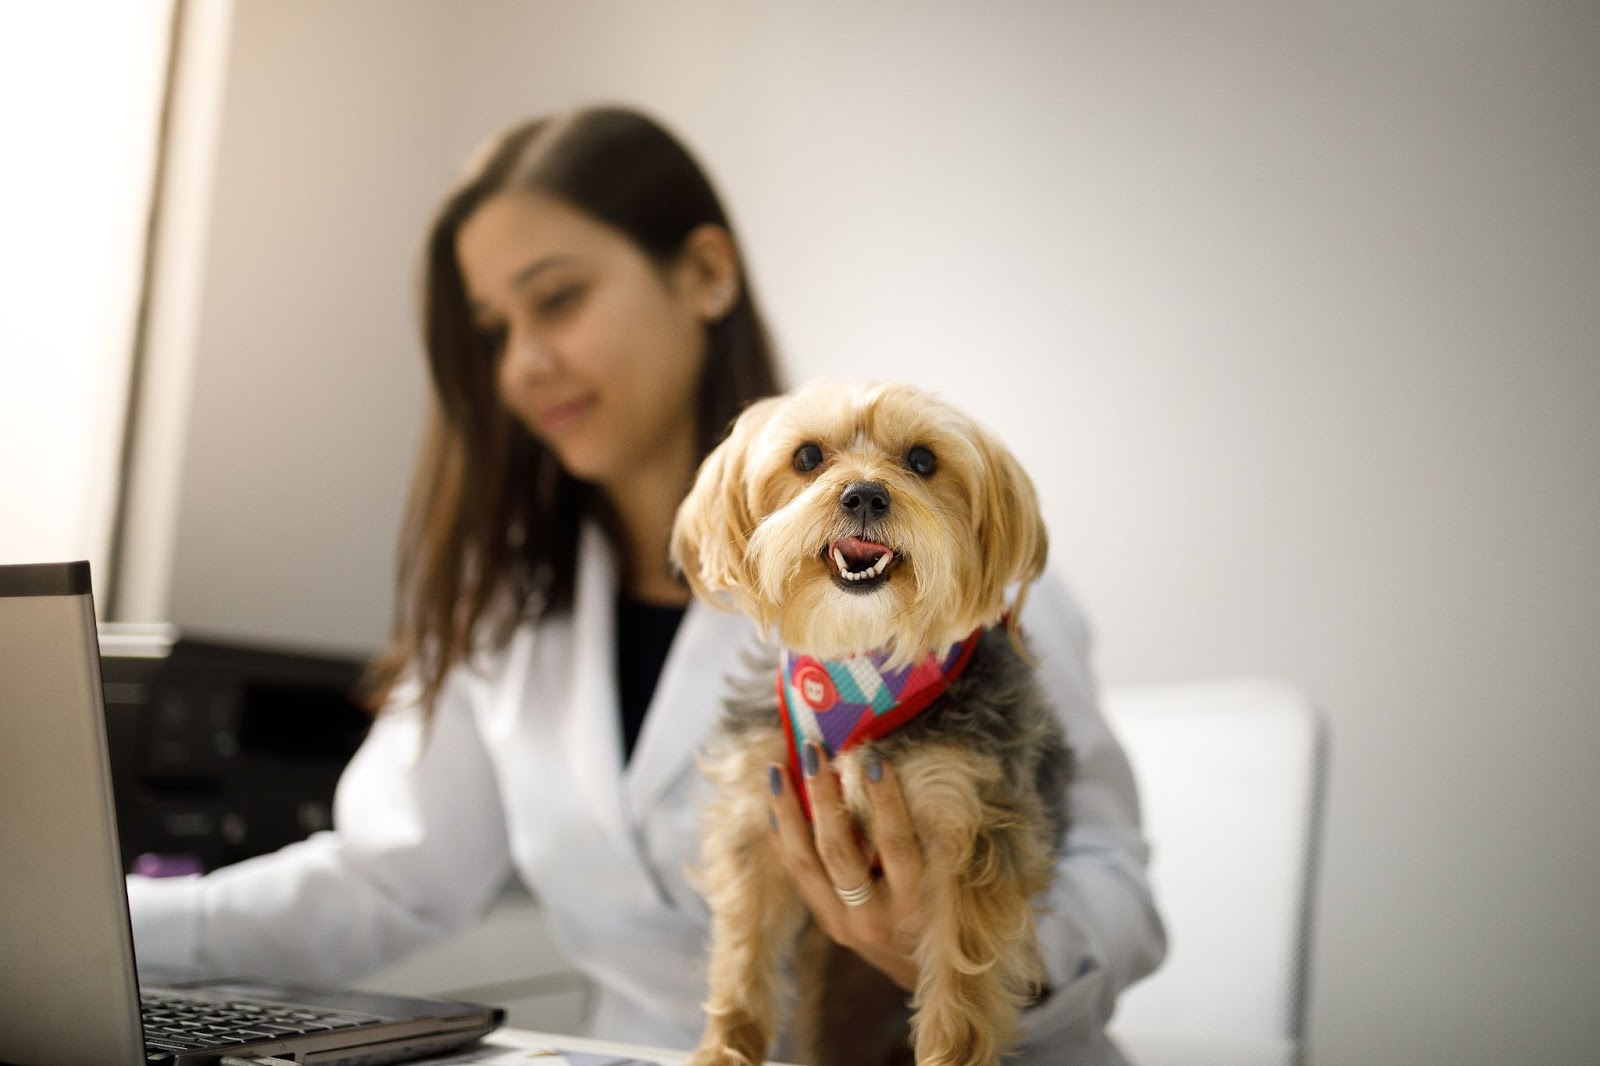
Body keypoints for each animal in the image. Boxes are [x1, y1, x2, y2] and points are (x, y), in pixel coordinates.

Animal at [668, 377, 1068, 1056]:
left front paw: (951, 1054)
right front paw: (725, 1049)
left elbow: (961, 984)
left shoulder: (969, 822)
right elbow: (743, 953)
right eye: (807, 457)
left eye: (923, 461)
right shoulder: (757, 811)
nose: (864, 494)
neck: (859, 664)